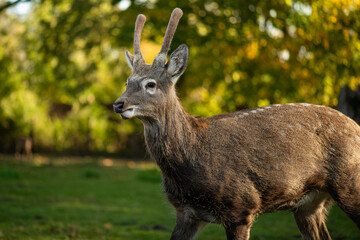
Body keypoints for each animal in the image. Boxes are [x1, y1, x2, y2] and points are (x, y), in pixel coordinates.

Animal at [113, 7, 360, 240]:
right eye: (127, 81)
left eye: (150, 84)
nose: (118, 104)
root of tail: (356, 126)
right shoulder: (186, 213)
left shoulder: (241, 206)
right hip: (309, 204)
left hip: (350, 183)